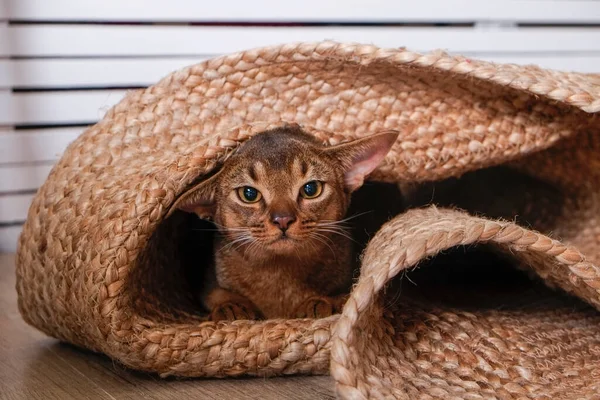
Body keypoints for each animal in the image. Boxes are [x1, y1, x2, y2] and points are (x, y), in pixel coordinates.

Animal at [173, 126, 398, 320]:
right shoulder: (208, 279)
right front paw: (230, 307)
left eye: (311, 189)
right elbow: (215, 294)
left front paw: (319, 302)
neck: (279, 274)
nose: (282, 219)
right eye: (249, 194)